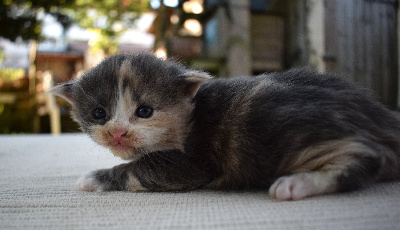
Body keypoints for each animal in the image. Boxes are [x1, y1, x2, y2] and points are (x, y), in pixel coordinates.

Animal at [52, 53, 400, 200]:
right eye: (99, 113)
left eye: (145, 111)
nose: (117, 132)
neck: (189, 117)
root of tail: (378, 114)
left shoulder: (193, 164)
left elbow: (137, 170)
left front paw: (94, 178)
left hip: (275, 127)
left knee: (369, 157)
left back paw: (298, 184)